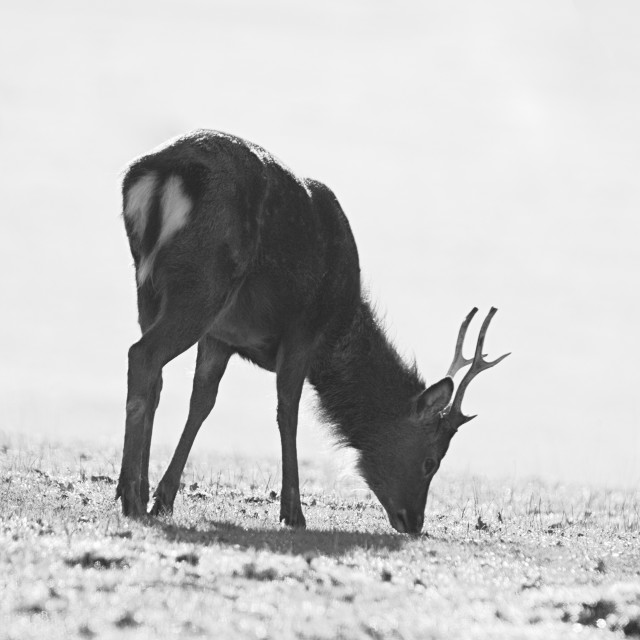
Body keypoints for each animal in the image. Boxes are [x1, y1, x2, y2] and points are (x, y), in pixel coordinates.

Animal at [116, 129, 510, 528]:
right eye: (431, 461)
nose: (413, 522)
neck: (336, 334)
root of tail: (164, 172)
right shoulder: (303, 329)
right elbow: (287, 410)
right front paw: (293, 512)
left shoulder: (221, 336)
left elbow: (202, 402)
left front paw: (164, 498)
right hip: (204, 283)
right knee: (142, 354)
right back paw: (131, 496)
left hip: (147, 287)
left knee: (154, 377)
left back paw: (135, 491)